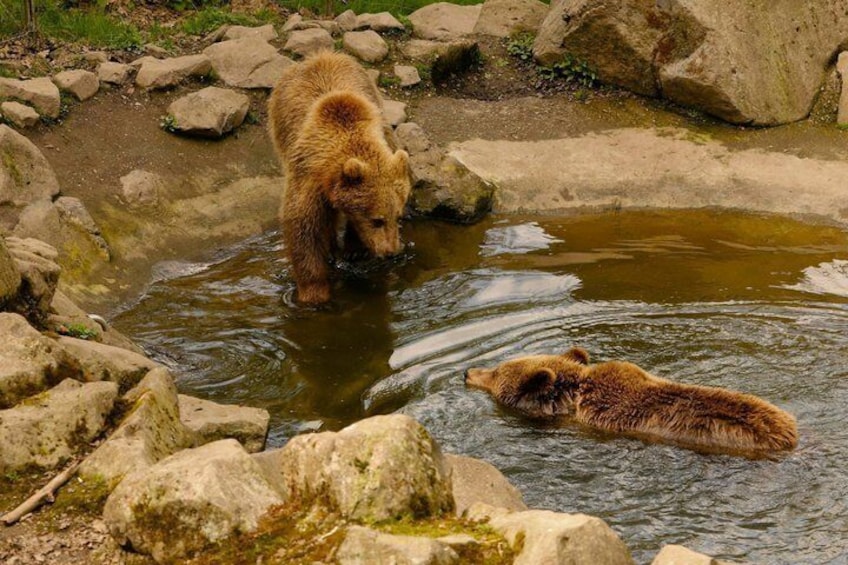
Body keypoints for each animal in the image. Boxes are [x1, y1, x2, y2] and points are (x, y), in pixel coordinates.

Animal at [267, 51, 411, 304]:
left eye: (398, 216)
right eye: (377, 220)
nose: (391, 252)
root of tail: (319, 55)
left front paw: (356, 249)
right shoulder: (308, 178)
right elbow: (303, 229)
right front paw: (314, 295)